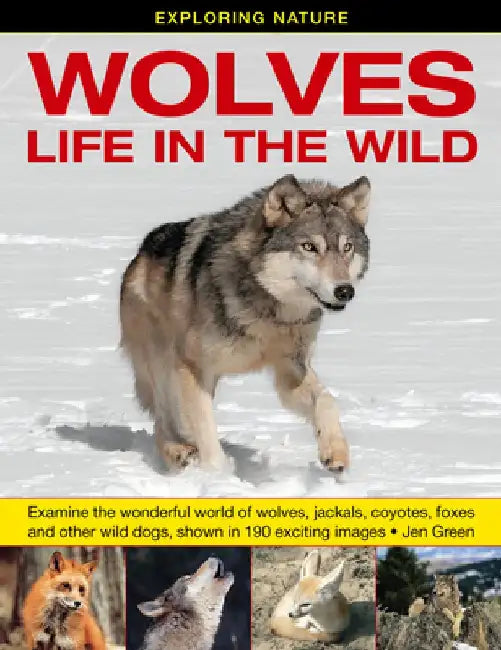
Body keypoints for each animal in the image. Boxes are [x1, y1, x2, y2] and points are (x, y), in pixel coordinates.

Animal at [120, 174, 371, 473]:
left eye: (347, 248)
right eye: (309, 247)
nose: (345, 291)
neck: (269, 312)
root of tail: (142, 250)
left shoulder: (290, 370)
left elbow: (326, 400)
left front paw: (335, 452)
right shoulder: (191, 367)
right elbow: (206, 433)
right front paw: (218, 476)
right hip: (162, 364)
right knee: (163, 419)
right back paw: (178, 452)